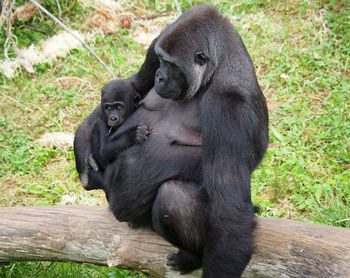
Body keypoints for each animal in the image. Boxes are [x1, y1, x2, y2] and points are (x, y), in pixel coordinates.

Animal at [76, 4, 268, 278]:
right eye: (160, 60)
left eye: (171, 64)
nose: (159, 76)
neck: (215, 72)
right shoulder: (159, 39)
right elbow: (133, 84)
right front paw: (81, 146)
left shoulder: (231, 108)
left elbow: (230, 212)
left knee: (174, 197)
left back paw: (192, 256)